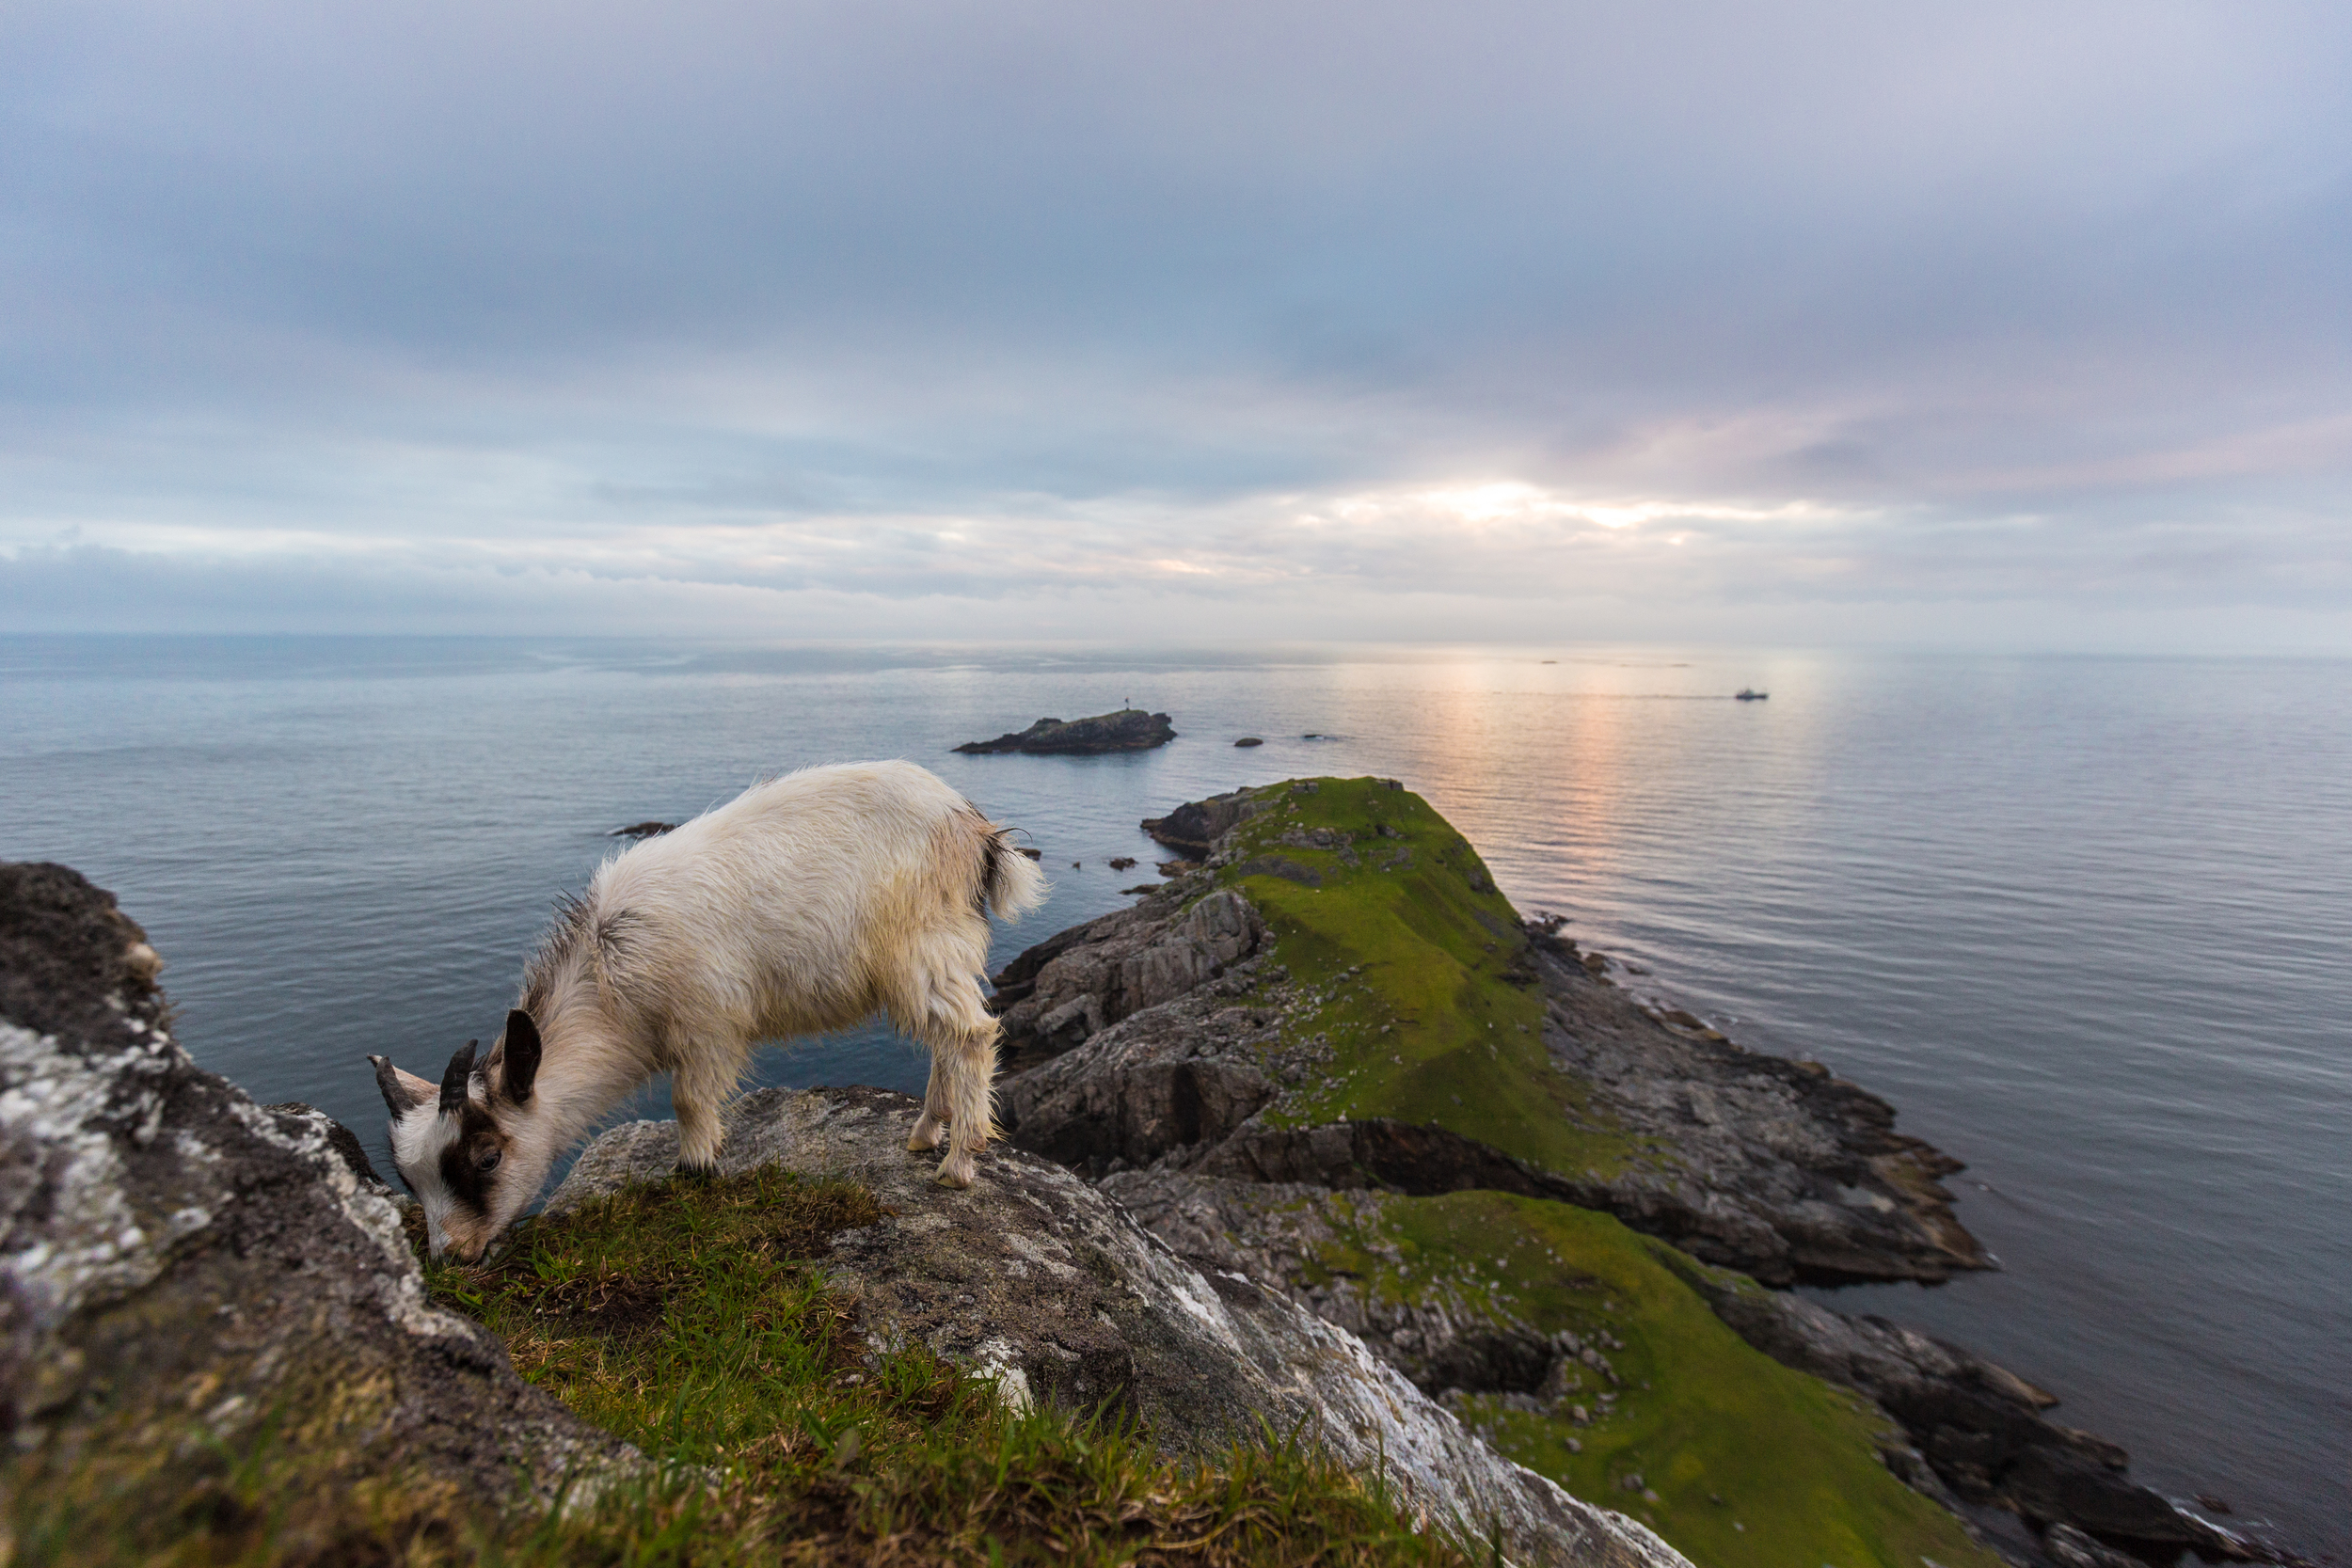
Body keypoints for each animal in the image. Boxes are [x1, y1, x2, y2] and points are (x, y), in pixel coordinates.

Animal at [369, 761, 1049, 1259]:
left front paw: (693, 1168)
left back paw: (958, 1163)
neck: (610, 981)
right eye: (409, 1178)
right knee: (946, 1039)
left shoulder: (707, 1022)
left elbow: (689, 1101)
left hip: (923, 946)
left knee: (969, 1034)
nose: (453, 1256)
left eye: (487, 1158)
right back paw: (925, 1131)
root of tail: (973, 828)